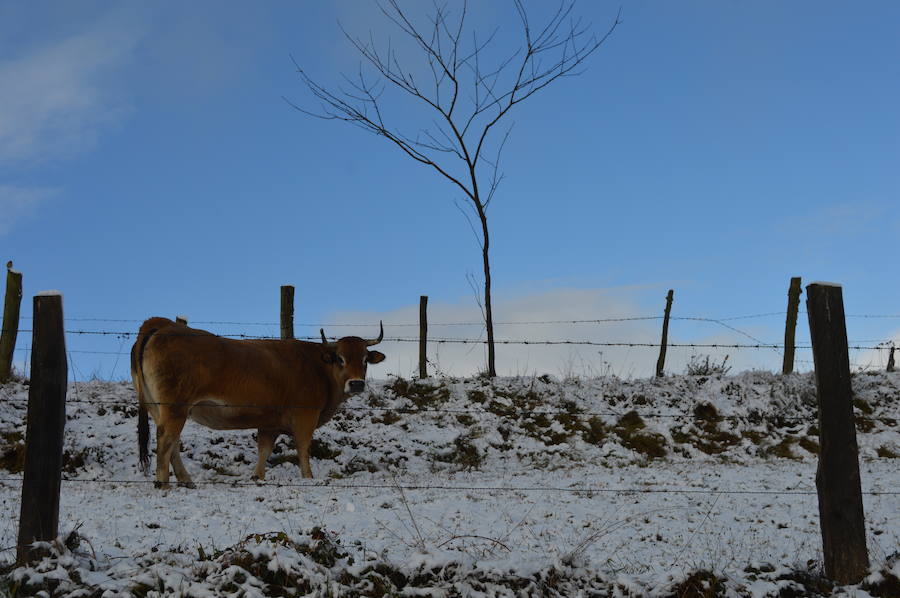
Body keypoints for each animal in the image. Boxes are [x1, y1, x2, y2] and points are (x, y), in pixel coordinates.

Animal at [130, 318, 384, 488]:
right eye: (340, 358)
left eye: (365, 359)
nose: (356, 384)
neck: (317, 367)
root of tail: (162, 325)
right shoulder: (305, 417)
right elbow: (303, 448)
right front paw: (308, 478)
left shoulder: (269, 423)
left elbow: (264, 449)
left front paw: (258, 477)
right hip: (174, 407)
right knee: (166, 441)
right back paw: (163, 483)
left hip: (160, 408)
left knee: (172, 443)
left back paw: (186, 481)